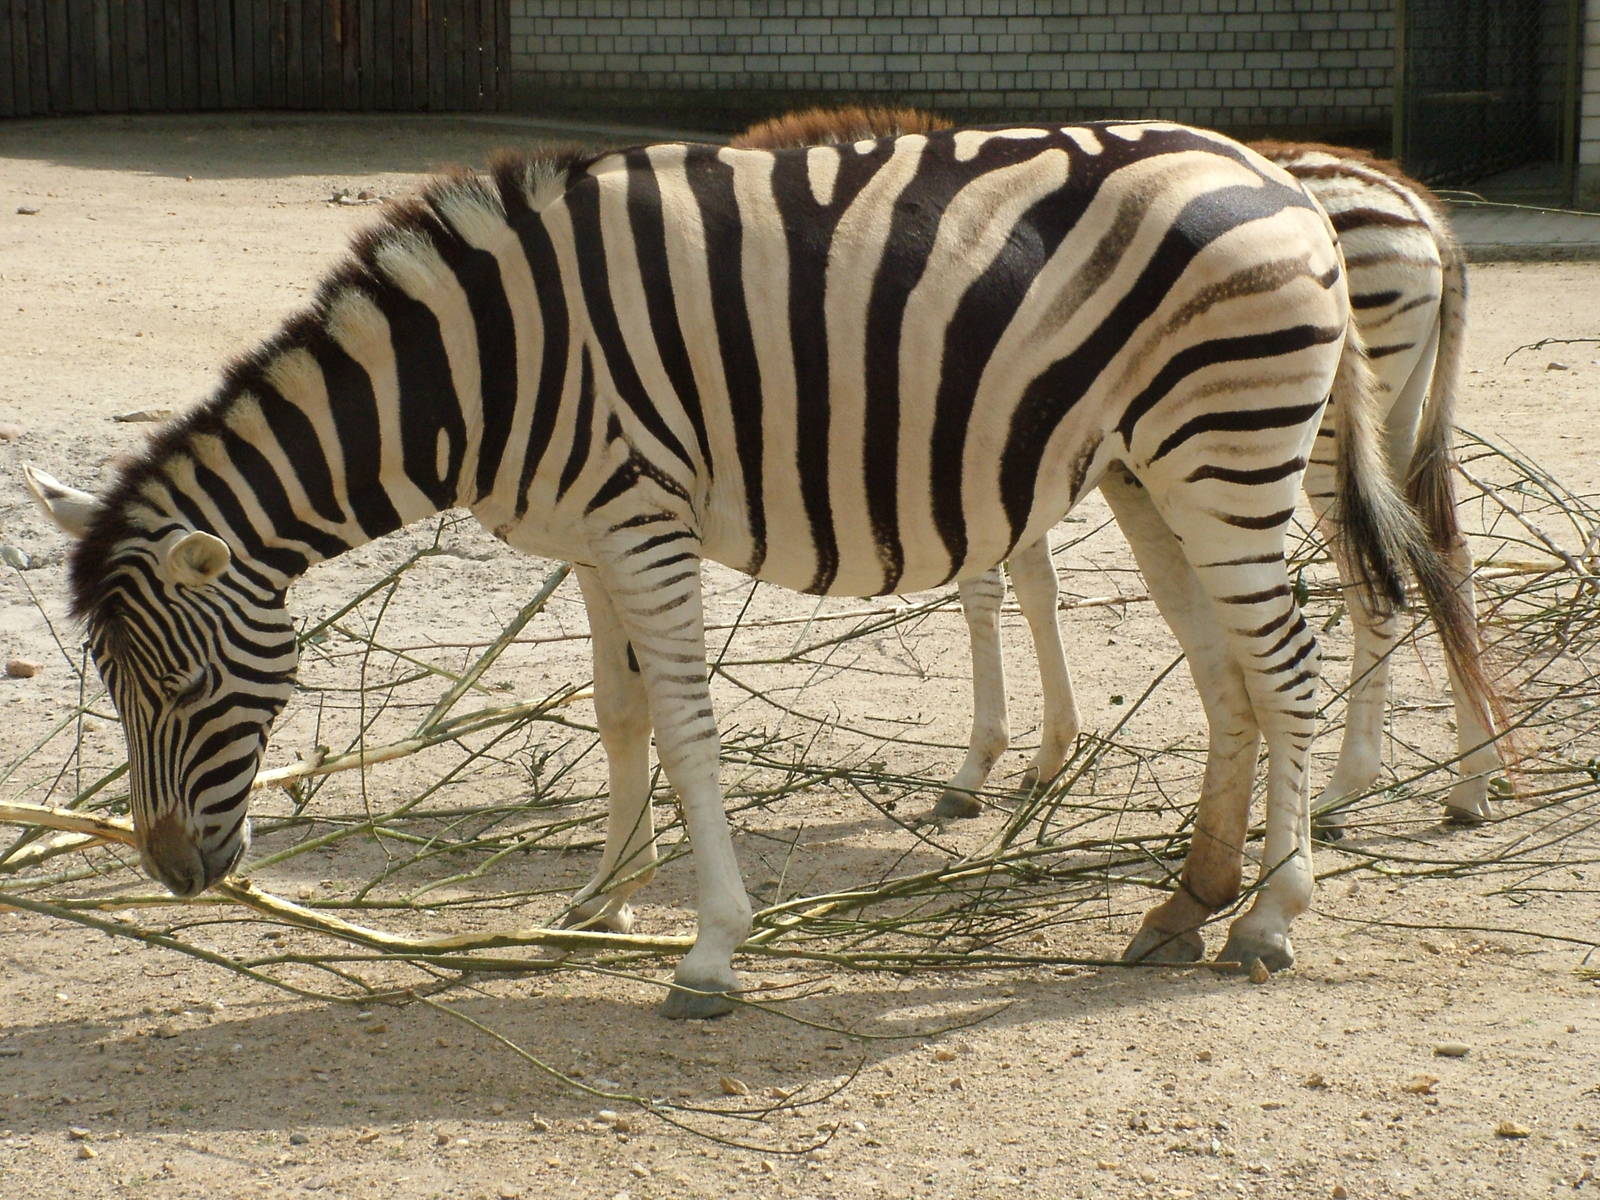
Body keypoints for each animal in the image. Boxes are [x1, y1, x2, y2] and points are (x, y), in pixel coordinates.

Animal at [732, 109, 1503, 833]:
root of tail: (1412, 198)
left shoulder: (969, 451)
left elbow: (987, 592)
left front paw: (979, 767)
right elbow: (1035, 589)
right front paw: (1046, 756)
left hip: (1317, 436)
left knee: (1375, 588)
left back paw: (1347, 787)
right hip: (1393, 417)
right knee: (1445, 555)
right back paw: (1471, 779)